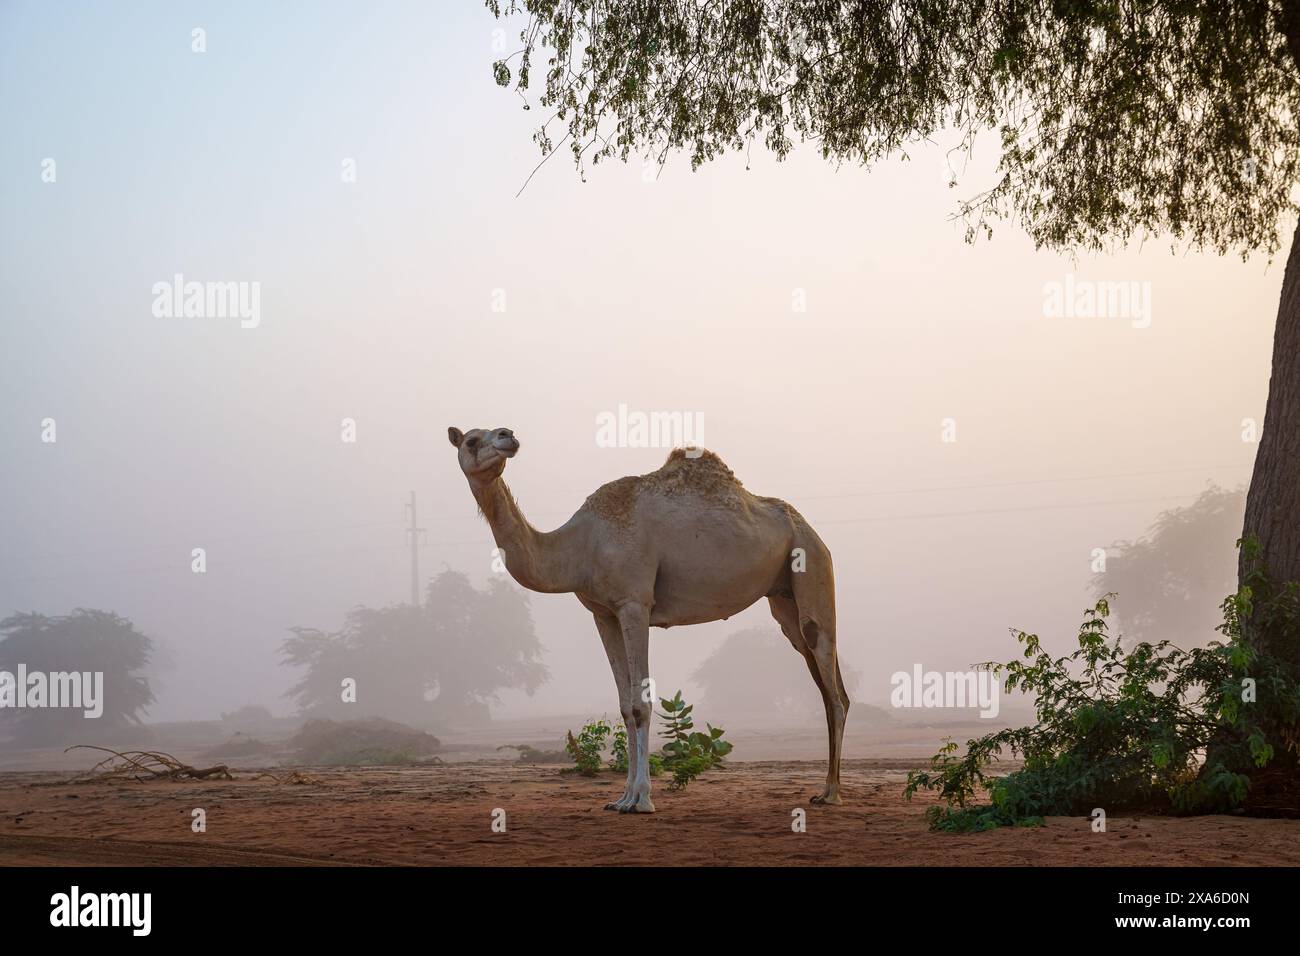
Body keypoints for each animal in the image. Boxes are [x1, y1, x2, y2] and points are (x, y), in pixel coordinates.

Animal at [449, 429, 852, 811]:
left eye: (490, 434)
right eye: (471, 440)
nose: (508, 436)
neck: (580, 546)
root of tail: (811, 530)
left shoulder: (634, 603)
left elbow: (641, 704)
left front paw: (642, 799)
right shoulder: (603, 613)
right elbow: (625, 705)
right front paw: (620, 798)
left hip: (812, 563)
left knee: (832, 688)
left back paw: (831, 793)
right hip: (784, 597)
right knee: (829, 686)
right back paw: (826, 788)